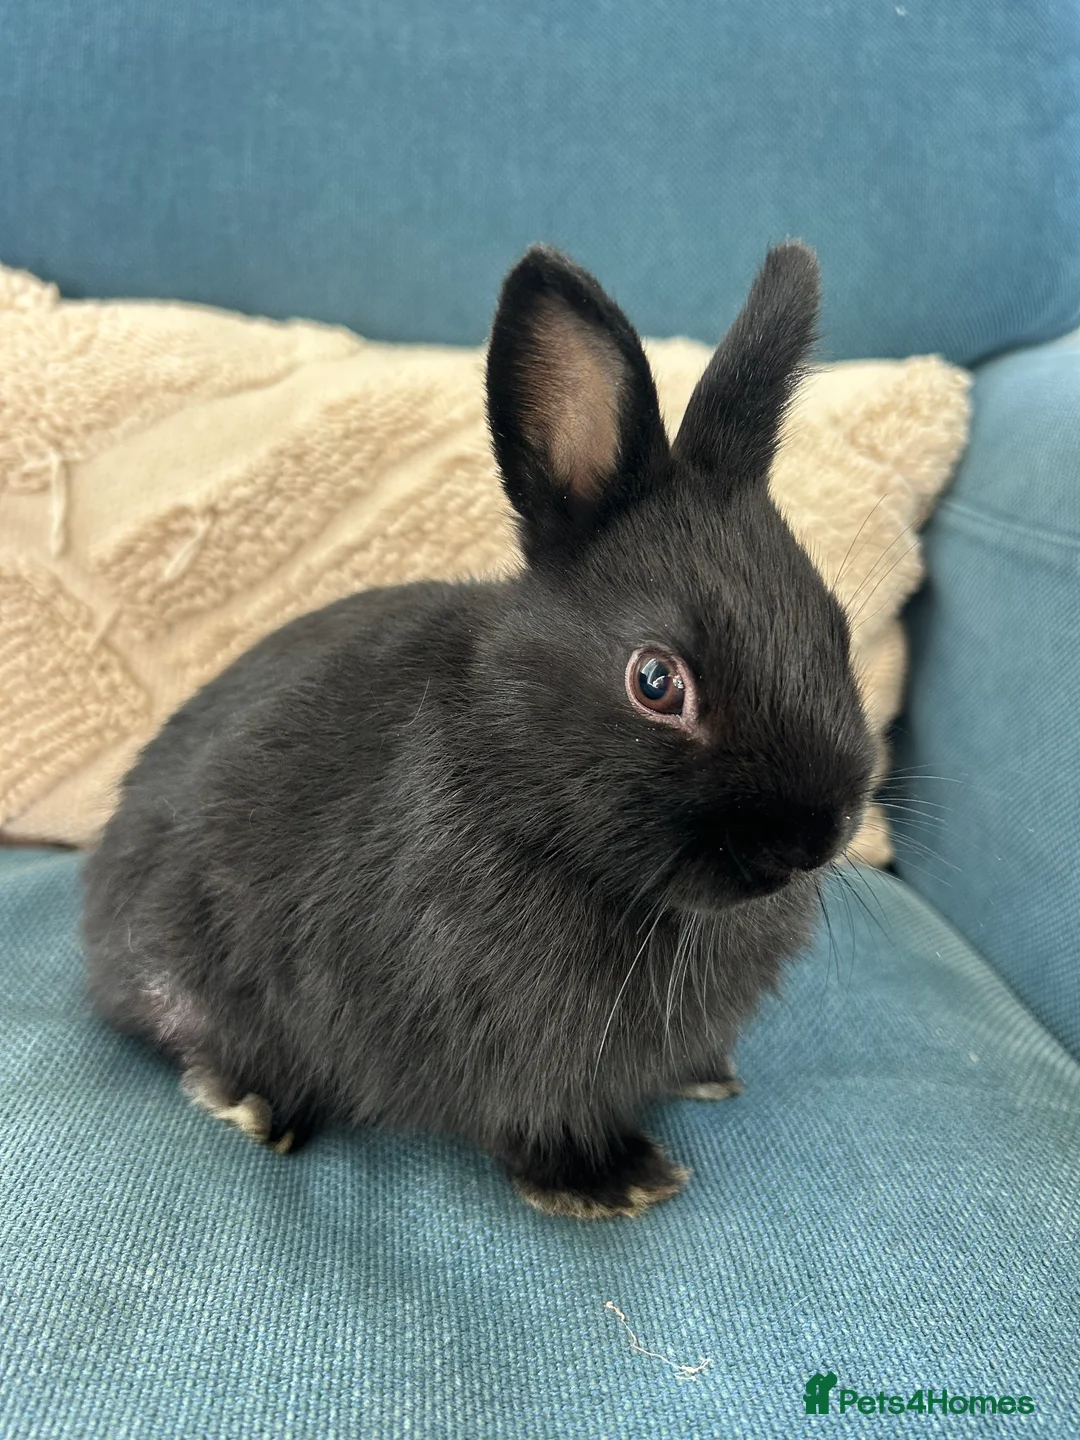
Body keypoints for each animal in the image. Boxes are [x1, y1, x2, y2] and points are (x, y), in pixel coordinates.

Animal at [82, 241, 875, 1219]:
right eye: (656, 682)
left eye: (836, 630)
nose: (815, 837)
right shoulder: (503, 1035)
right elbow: (535, 1112)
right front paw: (615, 1182)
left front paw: (706, 1077)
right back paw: (254, 1101)